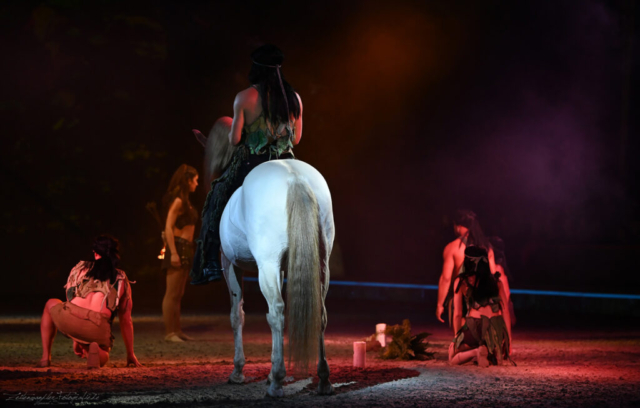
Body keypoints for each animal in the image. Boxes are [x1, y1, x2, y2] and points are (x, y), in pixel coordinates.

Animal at [198, 117, 332, 396]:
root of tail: (295, 178)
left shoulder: (230, 265)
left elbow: (237, 315)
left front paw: (238, 371)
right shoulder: (281, 268)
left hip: (266, 266)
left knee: (277, 313)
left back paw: (277, 381)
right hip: (321, 263)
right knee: (319, 313)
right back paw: (323, 380)